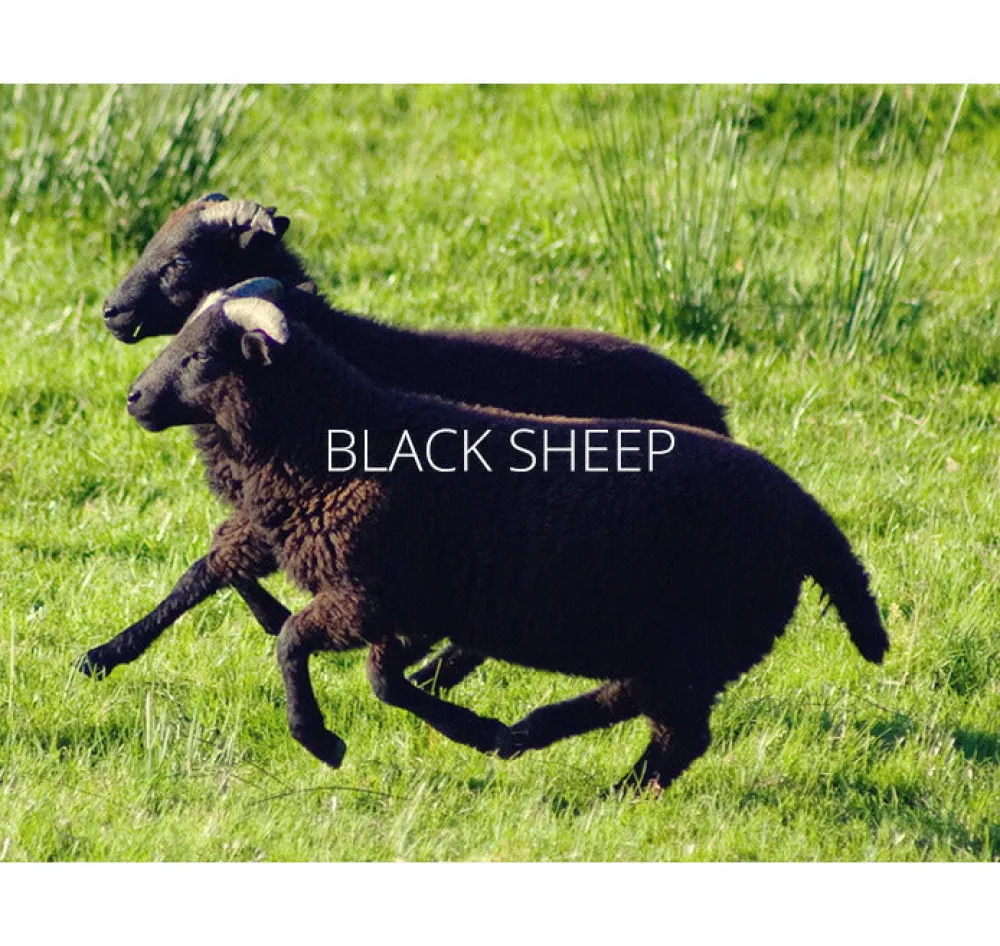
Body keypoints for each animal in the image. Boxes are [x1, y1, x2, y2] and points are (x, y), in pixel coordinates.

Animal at [82, 193, 731, 691]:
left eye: (180, 259)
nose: (110, 311)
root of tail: (711, 409)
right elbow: (208, 570)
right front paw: (111, 652)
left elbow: (214, 569)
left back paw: (432, 675)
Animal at [119, 278, 889, 794]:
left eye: (201, 359)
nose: (133, 398)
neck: (338, 439)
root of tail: (808, 514)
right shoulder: (410, 609)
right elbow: (383, 680)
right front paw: (474, 730)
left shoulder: (370, 597)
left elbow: (293, 643)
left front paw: (321, 742)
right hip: (682, 646)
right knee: (641, 708)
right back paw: (531, 735)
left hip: (700, 638)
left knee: (676, 734)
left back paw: (608, 792)